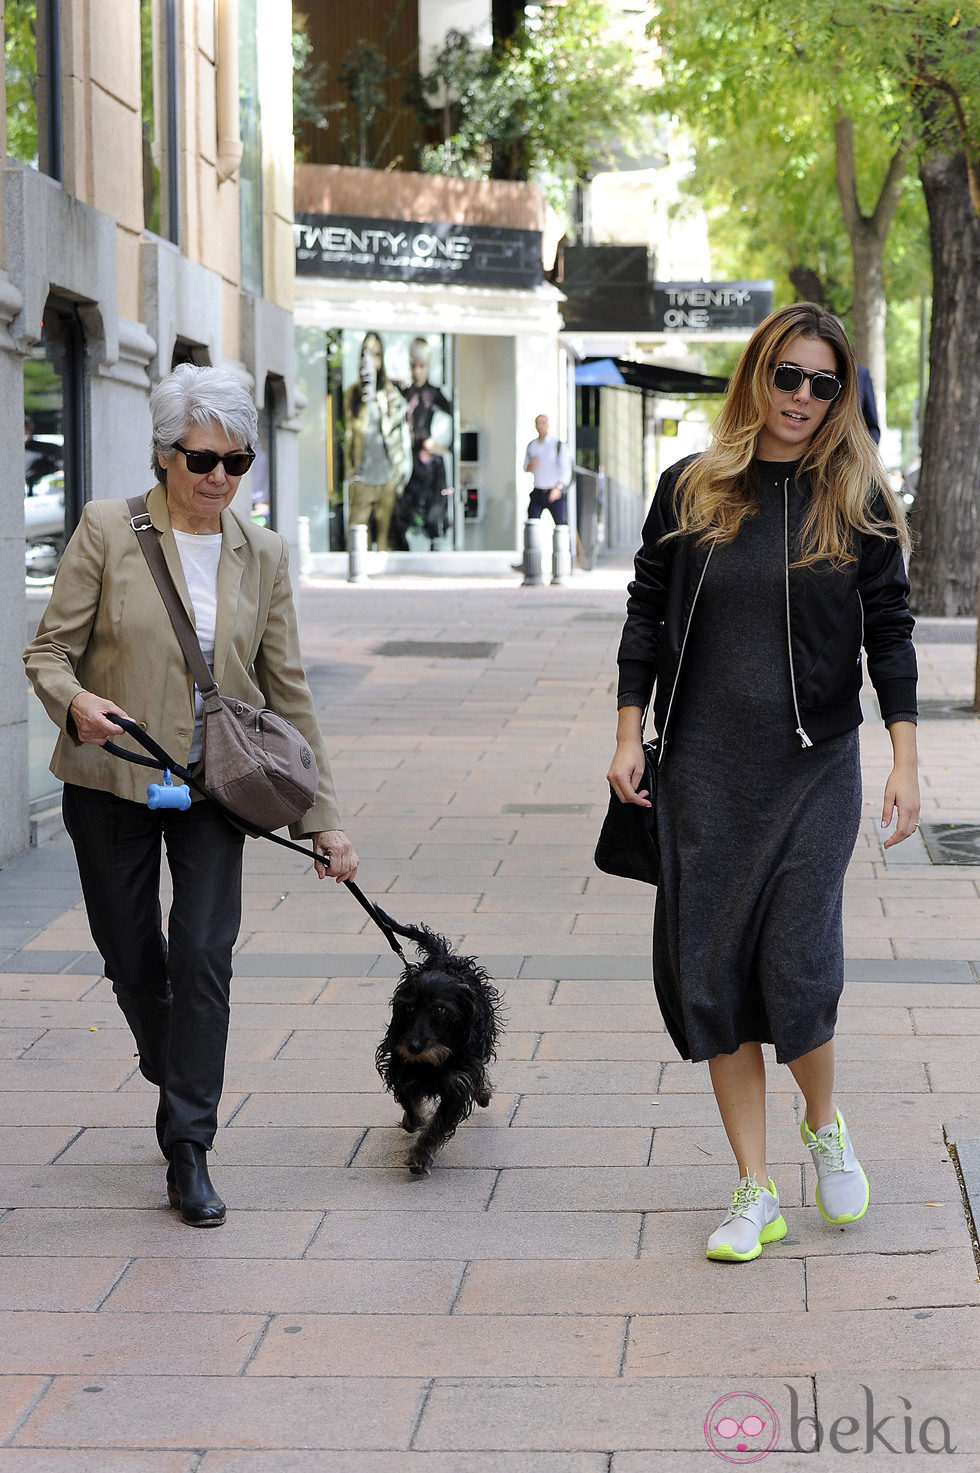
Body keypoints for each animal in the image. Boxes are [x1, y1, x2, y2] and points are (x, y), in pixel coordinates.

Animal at [371, 919, 501, 1172]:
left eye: (440, 1009)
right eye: (409, 1008)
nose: (413, 1047)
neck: (431, 1061)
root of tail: (442, 959)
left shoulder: (457, 1084)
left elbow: (437, 1125)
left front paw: (420, 1156)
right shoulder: (400, 1069)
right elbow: (409, 1102)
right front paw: (414, 1121)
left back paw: (482, 1092)